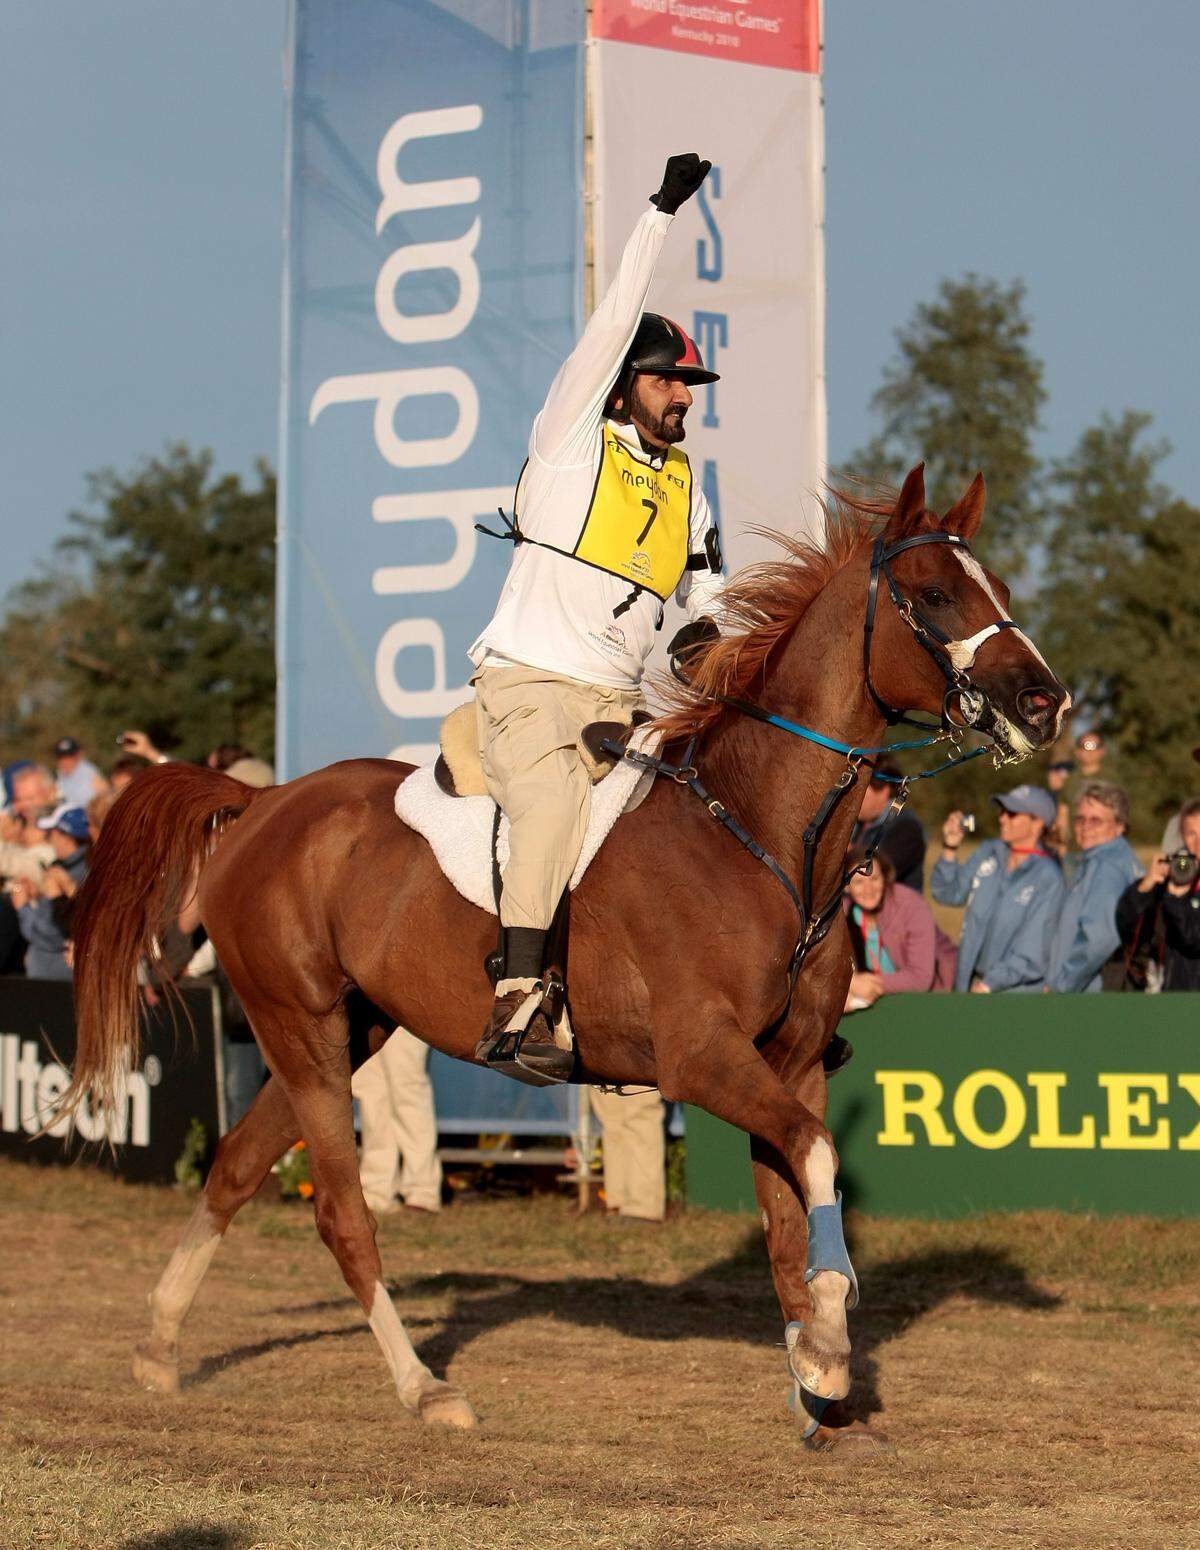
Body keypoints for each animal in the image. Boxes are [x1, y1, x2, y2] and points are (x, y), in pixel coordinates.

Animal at [61, 464, 1068, 1451]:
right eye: (934, 594)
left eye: (998, 585)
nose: (1044, 702)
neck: (758, 835)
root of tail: (262, 803)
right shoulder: (702, 1059)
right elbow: (816, 1162)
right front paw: (824, 1350)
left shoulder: (790, 1065)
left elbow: (793, 1208)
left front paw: (815, 1377)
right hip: (299, 1026)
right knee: (340, 1212)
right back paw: (423, 1387)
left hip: (351, 1029)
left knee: (235, 1167)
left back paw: (158, 1348)